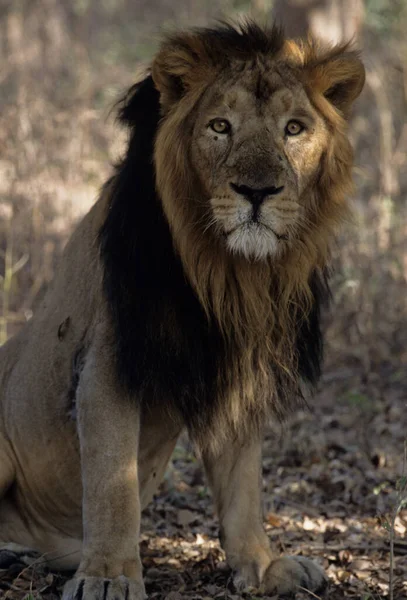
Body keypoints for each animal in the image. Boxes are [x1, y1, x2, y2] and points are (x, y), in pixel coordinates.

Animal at [0, 21, 364, 600]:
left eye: (294, 129)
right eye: (220, 126)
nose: (257, 191)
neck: (227, 272)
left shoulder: (241, 365)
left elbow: (243, 483)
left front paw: (263, 566)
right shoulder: (108, 362)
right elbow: (113, 484)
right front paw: (109, 575)